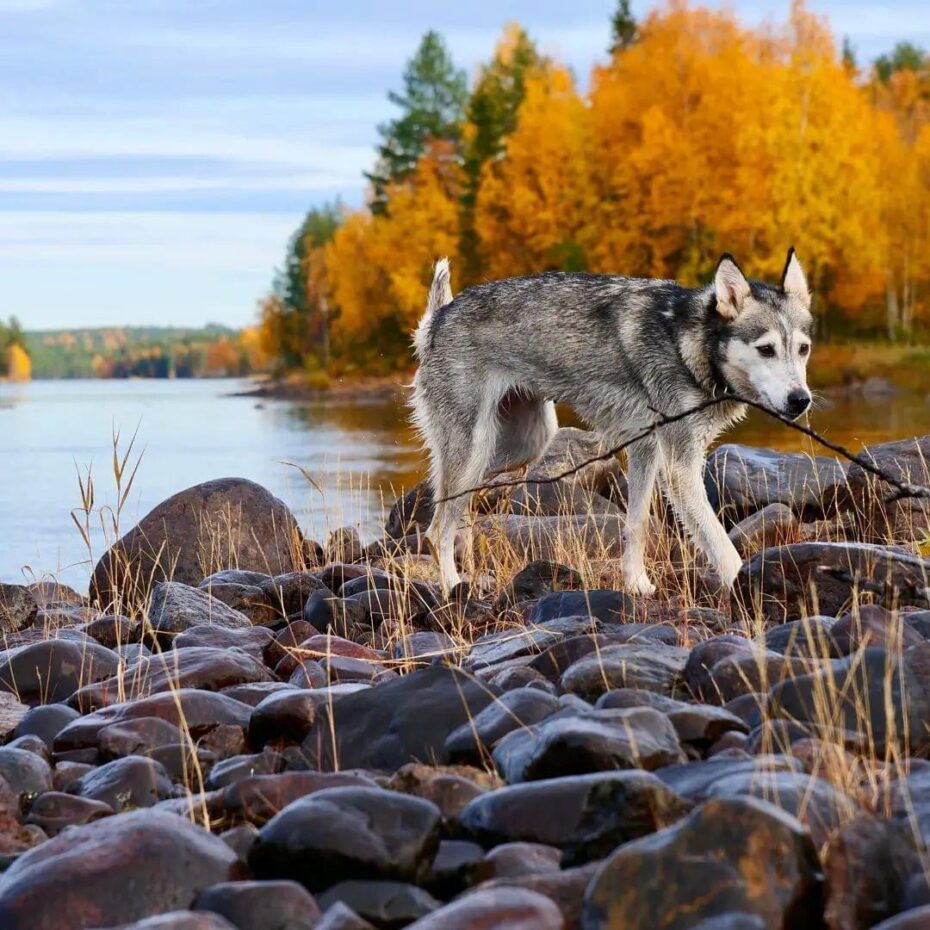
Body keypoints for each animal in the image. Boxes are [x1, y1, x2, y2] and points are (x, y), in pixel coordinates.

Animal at [410, 248, 808, 596]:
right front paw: (746, 585)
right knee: (437, 528)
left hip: (517, 448)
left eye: (803, 349)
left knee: (447, 506)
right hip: (476, 453)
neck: (687, 345)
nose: (800, 400)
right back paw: (453, 587)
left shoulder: (646, 450)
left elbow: (638, 523)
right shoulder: (680, 468)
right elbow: (722, 546)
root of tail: (438, 318)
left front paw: (637, 584)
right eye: (766, 350)